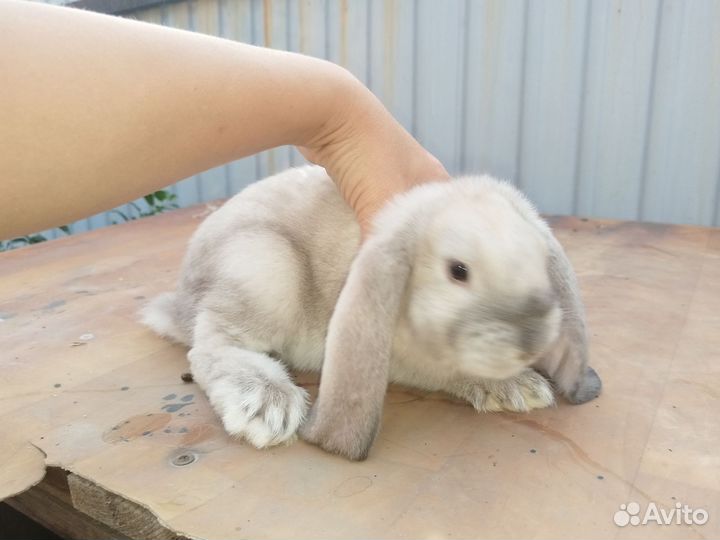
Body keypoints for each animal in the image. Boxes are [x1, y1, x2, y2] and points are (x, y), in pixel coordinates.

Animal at [141, 165, 601, 460]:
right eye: (458, 271)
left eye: (540, 261)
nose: (531, 339)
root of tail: (181, 300)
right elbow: (452, 372)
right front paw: (518, 387)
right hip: (263, 268)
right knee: (210, 346)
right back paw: (266, 404)